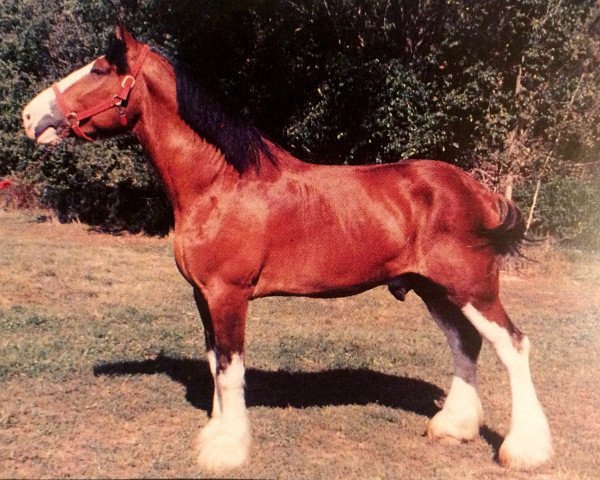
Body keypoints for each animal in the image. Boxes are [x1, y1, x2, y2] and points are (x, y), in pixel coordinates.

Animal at [22, 25, 552, 472]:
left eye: (99, 69)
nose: (29, 116)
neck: (220, 183)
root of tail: (479, 191)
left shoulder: (228, 295)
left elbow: (230, 371)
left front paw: (227, 451)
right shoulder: (203, 297)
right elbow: (216, 364)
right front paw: (215, 436)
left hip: (472, 288)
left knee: (513, 346)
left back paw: (524, 450)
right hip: (434, 290)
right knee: (465, 344)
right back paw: (453, 428)